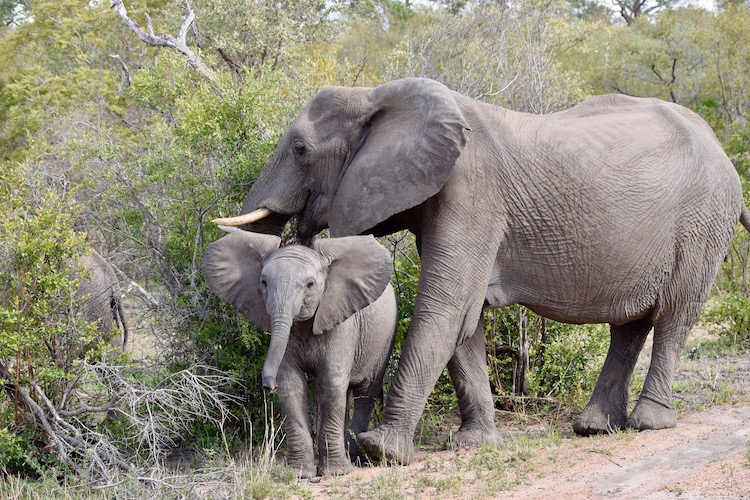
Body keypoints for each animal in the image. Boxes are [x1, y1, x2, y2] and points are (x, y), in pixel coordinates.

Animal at [200, 230, 400, 476]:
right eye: (264, 282)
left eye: (310, 284)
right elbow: (291, 385)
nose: (268, 387)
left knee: (365, 392)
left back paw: (354, 458)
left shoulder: (340, 321)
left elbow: (331, 382)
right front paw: (299, 473)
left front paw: (334, 473)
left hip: (385, 336)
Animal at [213, 78, 750, 464]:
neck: (377, 95)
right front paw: (475, 445)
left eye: (300, 149)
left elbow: (445, 307)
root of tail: (722, 150)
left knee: (674, 317)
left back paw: (647, 424)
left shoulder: (471, 192)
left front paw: (381, 450)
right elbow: (465, 321)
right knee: (631, 325)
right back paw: (593, 427)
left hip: (702, 222)